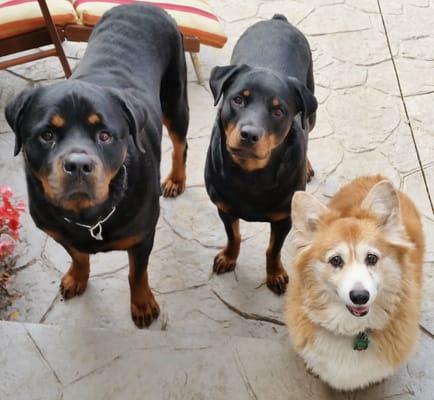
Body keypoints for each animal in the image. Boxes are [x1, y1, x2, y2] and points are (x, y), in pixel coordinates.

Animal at [4, 3, 188, 328]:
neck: (90, 217)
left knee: (180, 144)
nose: (78, 164)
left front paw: (142, 304)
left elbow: (136, 272)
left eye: (105, 135)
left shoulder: (142, 237)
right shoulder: (58, 231)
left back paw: (176, 179)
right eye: (47, 135)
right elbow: (77, 254)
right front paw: (77, 277)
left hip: (175, 97)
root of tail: (144, 5)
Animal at [205, 14, 318, 294]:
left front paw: (275, 274)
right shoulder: (224, 207)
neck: (251, 175)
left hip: (311, 111)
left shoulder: (283, 218)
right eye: (238, 99)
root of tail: (278, 20)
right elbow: (233, 235)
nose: (249, 134)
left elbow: (273, 249)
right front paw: (229, 257)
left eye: (278, 111)